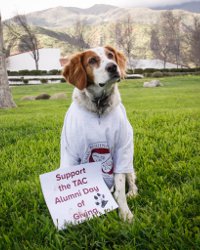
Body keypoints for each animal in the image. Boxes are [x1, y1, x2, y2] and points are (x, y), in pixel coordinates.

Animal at [59, 46, 138, 222]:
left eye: (110, 55)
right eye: (92, 60)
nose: (113, 67)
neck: (99, 107)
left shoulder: (122, 148)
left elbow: (120, 186)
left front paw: (125, 213)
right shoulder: (71, 152)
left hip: (128, 155)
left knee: (130, 177)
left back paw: (132, 192)